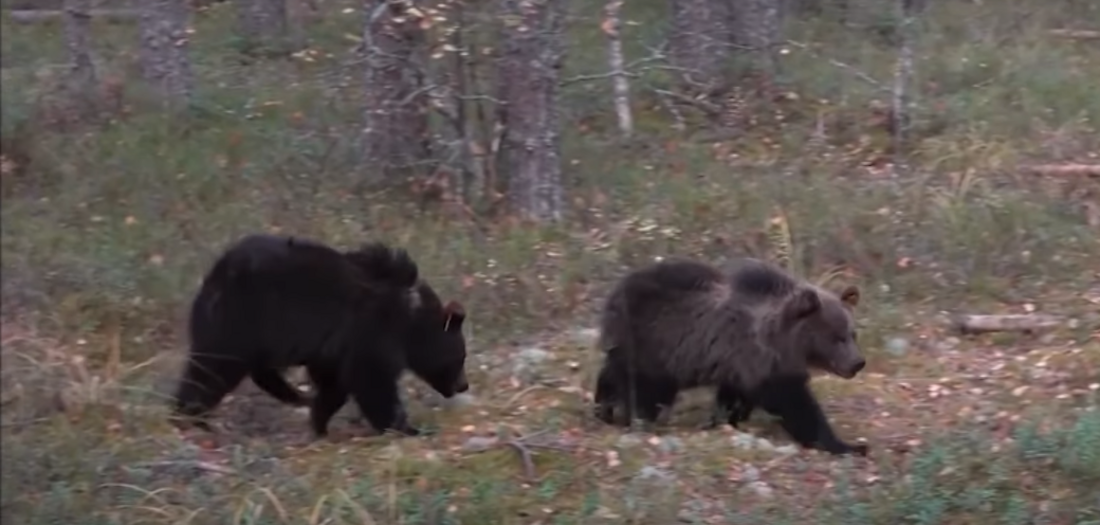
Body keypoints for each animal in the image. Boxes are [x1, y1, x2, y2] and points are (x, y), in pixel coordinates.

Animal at [170, 235, 468, 435]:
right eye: (460, 358)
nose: (464, 385)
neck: (410, 322)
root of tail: (215, 275)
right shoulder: (372, 332)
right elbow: (373, 381)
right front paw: (404, 427)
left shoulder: (335, 348)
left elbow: (335, 384)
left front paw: (320, 422)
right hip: (241, 321)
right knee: (212, 368)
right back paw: (190, 415)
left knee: (257, 370)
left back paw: (293, 395)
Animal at [594, 256, 866, 453]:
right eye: (836, 337)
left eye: (853, 334)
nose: (858, 362)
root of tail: (614, 295)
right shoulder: (763, 362)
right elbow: (797, 405)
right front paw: (849, 445)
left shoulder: (738, 364)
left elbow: (734, 399)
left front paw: (723, 421)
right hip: (653, 344)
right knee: (644, 388)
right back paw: (637, 419)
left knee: (612, 374)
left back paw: (604, 410)